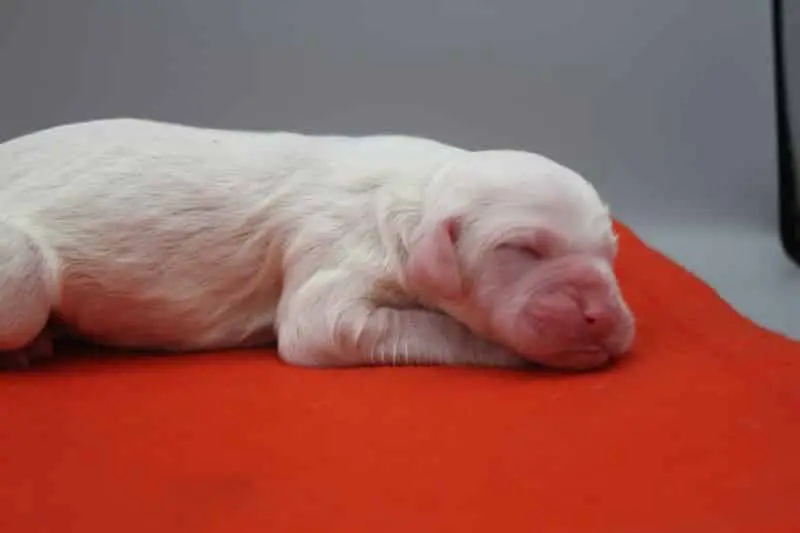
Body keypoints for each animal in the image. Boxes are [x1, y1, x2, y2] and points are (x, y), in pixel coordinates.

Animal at [0, 119, 634, 370]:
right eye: (522, 250)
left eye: (609, 252)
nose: (604, 317)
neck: (420, 194)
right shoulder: (332, 260)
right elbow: (323, 326)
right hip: (20, 273)